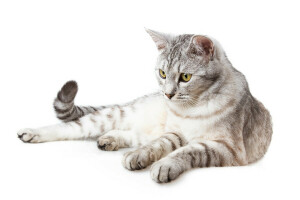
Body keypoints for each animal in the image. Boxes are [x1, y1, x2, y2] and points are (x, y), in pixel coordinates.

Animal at [17, 28, 274, 184]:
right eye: (162, 73)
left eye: (186, 77)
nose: (168, 94)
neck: (191, 109)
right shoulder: (175, 133)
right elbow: (160, 144)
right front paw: (143, 156)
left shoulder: (228, 148)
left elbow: (188, 150)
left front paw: (163, 165)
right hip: (113, 115)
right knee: (70, 127)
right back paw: (32, 133)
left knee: (133, 135)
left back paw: (110, 140)